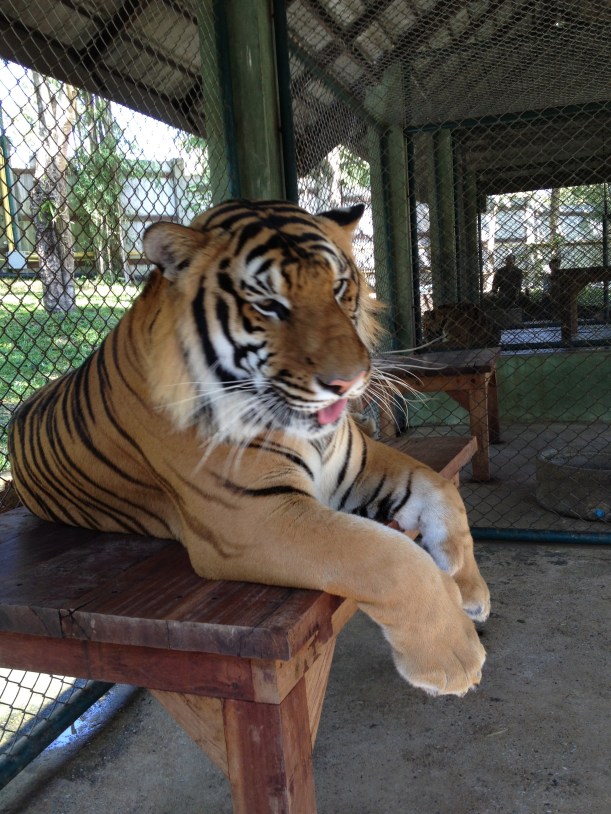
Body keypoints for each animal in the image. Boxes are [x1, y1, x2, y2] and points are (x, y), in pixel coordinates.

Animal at [8, 199, 489, 697]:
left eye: (338, 288)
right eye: (268, 305)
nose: (350, 381)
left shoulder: (360, 463)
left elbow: (440, 488)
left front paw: (469, 589)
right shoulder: (253, 515)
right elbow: (388, 557)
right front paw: (452, 656)